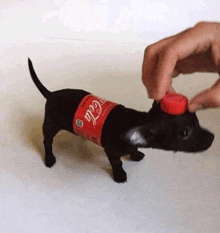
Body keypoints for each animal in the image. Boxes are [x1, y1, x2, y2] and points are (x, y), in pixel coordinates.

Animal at [27, 58, 215, 182]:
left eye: (197, 121)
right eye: (184, 133)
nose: (213, 138)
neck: (140, 120)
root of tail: (51, 94)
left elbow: (133, 149)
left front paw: (135, 154)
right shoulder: (111, 151)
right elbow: (117, 163)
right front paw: (119, 175)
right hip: (50, 125)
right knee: (47, 141)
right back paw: (49, 158)